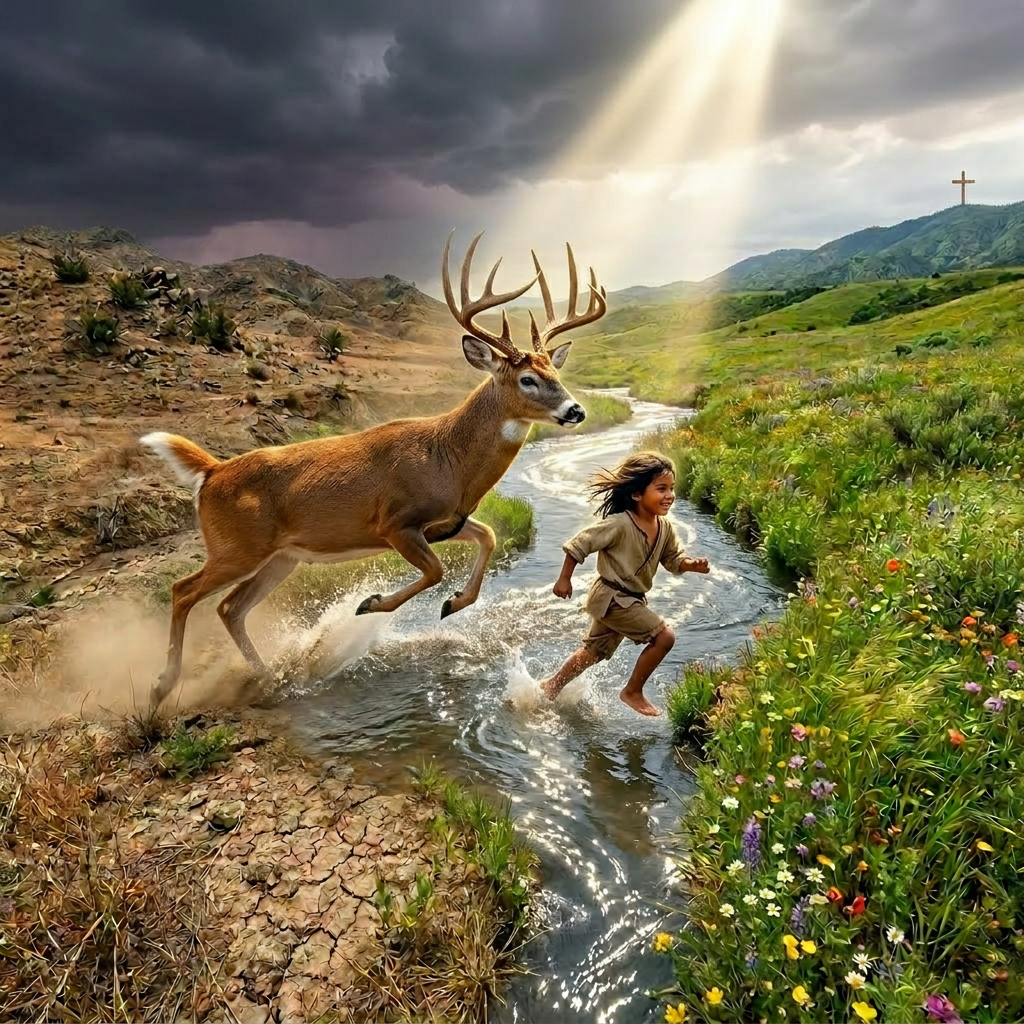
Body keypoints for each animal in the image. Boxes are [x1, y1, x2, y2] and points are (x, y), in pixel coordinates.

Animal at [140, 231, 608, 710]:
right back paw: (163, 685)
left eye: (555, 371)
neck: (448, 458)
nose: (576, 410)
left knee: (229, 607)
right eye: (527, 380)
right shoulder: (394, 523)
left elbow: (489, 536)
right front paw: (370, 603)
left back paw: (271, 678)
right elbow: (435, 570)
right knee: (184, 591)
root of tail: (211, 473)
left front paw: (453, 603)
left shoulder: (446, 522)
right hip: (237, 547)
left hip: (281, 556)